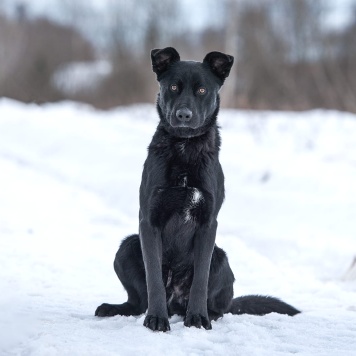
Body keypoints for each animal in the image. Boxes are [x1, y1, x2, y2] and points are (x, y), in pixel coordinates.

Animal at [95, 46, 300, 330]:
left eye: (202, 90)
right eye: (173, 87)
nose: (183, 115)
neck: (184, 149)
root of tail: (175, 303)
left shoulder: (207, 223)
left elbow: (200, 280)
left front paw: (197, 318)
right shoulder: (148, 221)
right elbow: (154, 278)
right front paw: (156, 319)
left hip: (221, 258)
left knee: (220, 308)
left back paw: (202, 314)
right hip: (127, 247)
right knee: (138, 301)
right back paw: (119, 309)